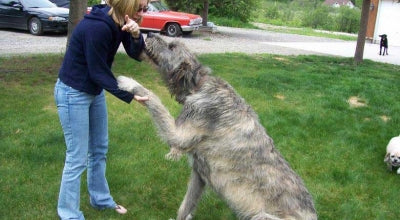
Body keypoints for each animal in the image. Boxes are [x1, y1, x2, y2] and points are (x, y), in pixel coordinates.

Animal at [117, 33, 318, 220]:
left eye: (172, 46)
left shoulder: (181, 132)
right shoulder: (199, 174)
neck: (199, 84)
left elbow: (153, 99)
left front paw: (130, 82)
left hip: (262, 216)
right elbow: (185, 205)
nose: (149, 34)